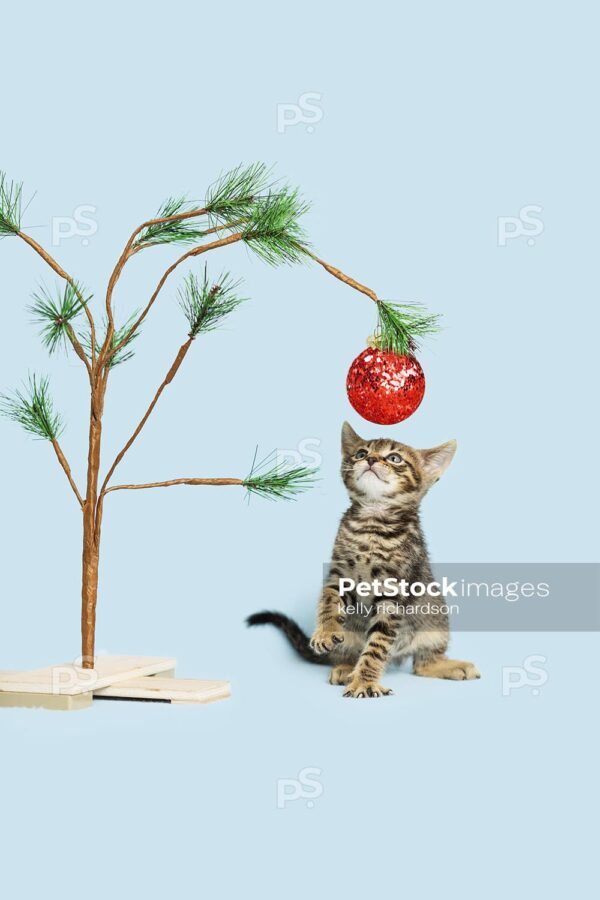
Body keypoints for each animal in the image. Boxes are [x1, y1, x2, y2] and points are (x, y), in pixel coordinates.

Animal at [246, 422, 480, 696]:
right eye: (360, 453)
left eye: (394, 458)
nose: (370, 459)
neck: (372, 522)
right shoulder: (339, 575)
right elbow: (328, 601)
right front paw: (326, 631)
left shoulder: (393, 592)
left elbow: (377, 645)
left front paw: (365, 681)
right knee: (350, 653)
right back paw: (345, 668)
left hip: (436, 620)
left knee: (422, 663)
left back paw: (450, 666)